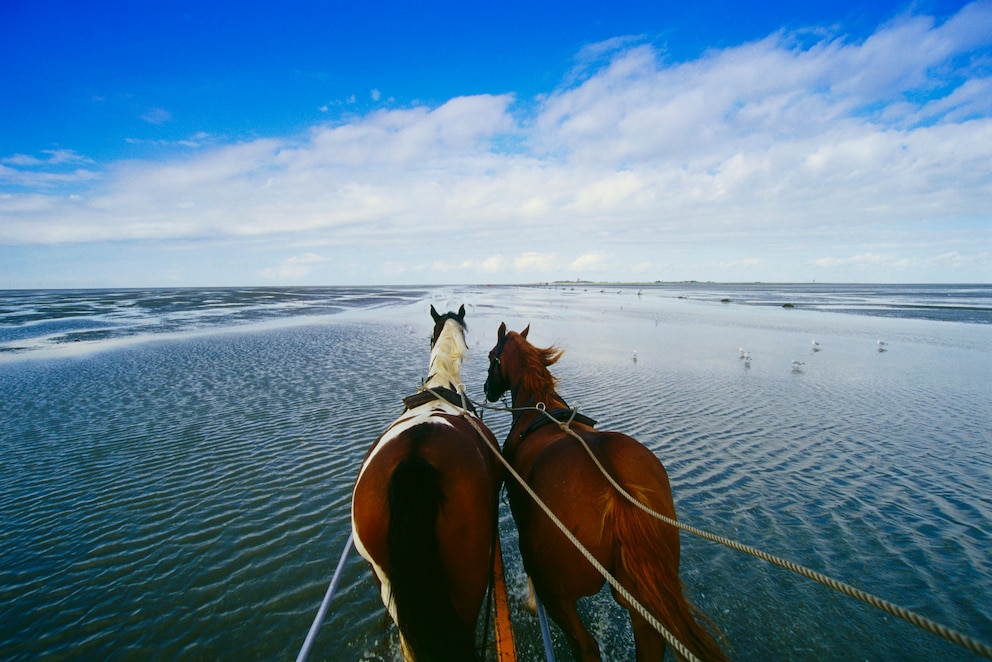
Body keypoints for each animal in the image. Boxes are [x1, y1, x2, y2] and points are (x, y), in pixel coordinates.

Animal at [484, 324, 724, 660]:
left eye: (491, 356)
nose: (486, 389)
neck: (539, 408)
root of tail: (616, 491)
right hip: (643, 604)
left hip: (559, 595)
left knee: (585, 647)